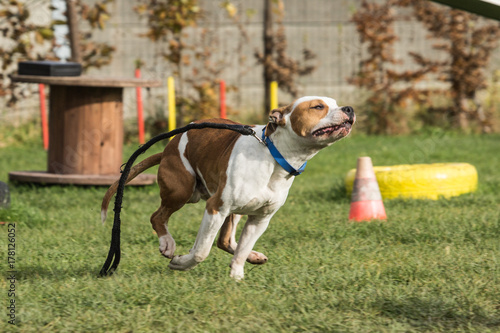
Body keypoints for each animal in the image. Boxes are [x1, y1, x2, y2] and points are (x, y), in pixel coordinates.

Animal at [99, 95, 354, 278]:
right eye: (318, 107)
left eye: (335, 103)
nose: (349, 109)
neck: (273, 155)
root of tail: (168, 147)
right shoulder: (215, 208)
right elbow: (201, 251)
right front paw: (181, 263)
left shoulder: (259, 218)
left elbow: (241, 248)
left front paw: (237, 275)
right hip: (183, 191)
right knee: (158, 216)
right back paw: (168, 244)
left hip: (234, 210)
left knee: (226, 241)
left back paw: (254, 256)